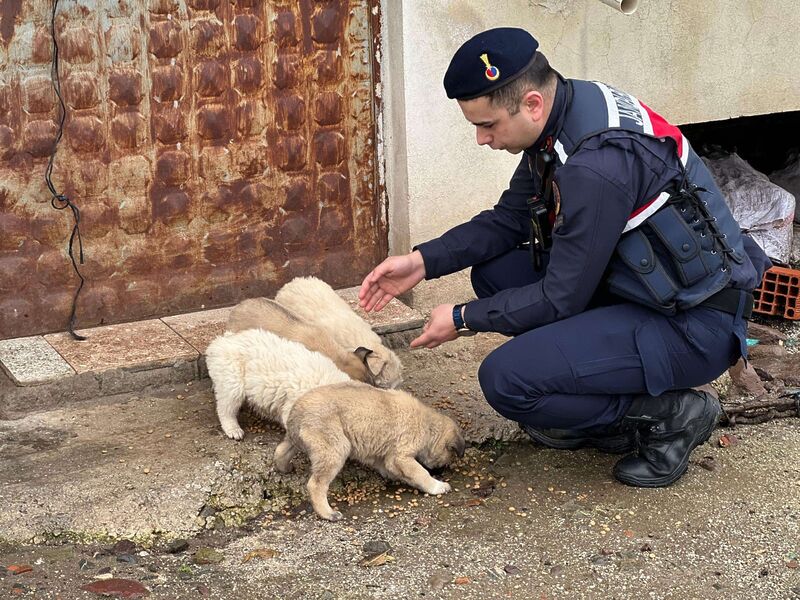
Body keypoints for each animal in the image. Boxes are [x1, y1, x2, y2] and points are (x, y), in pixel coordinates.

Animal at [276, 384, 466, 520]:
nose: (441, 472)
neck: (428, 425)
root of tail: (296, 412)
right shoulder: (401, 456)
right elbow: (421, 473)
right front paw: (437, 486)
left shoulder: (385, 456)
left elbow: (390, 468)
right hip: (335, 448)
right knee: (316, 484)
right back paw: (328, 513)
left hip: (296, 441)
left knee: (280, 451)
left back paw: (285, 468)